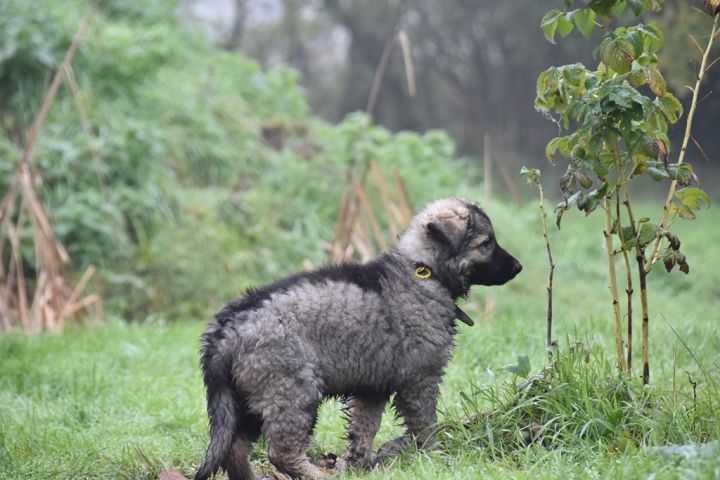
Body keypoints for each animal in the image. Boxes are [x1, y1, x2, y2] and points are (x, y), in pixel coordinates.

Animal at [195, 197, 522, 480]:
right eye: (487, 243)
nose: (518, 267)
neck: (424, 270)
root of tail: (224, 328)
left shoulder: (372, 387)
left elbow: (365, 429)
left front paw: (359, 465)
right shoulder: (420, 379)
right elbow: (425, 425)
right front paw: (436, 456)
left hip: (246, 396)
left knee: (236, 448)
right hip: (292, 389)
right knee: (280, 450)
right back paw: (314, 474)